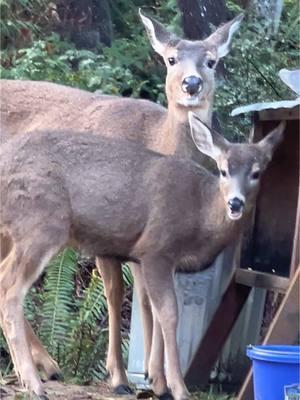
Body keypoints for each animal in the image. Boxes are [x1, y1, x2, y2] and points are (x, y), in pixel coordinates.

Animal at [0, 10, 243, 396]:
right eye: (170, 59)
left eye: (212, 61)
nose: (191, 85)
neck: (155, 138)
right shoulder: (108, 230)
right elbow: (118, 296)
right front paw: (119, 377)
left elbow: (147, 302)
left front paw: (157, 379)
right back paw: (42, 368)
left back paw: (45, 366)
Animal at [0, 113, 286, 400]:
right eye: (224, 170)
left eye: (256, 173)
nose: (235, 203)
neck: (200, 212)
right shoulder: (155, 249)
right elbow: (169, 314)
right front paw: (178, 387)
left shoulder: (164, 263)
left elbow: (157, 314)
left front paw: (159, 383)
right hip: (42, 223)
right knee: (11, 290)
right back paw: (35, 383)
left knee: (3, 280)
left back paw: (28, 375)